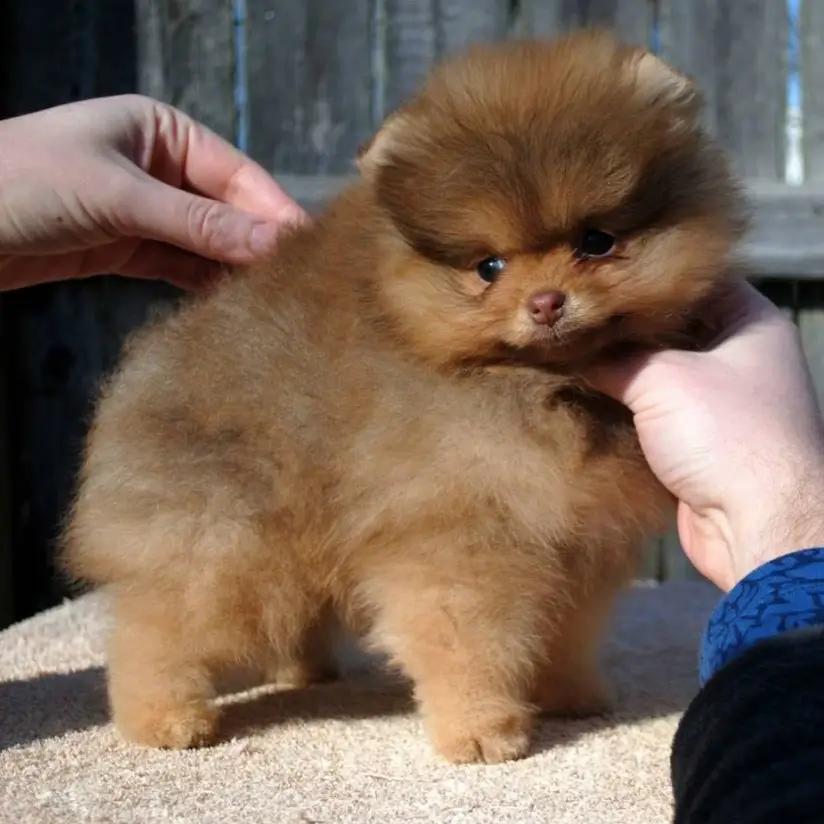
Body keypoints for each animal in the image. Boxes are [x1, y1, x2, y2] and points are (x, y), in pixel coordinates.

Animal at [62, 32, 748, 768]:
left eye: (596, 241)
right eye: (488, 268)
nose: (545, 302)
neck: (529, 384)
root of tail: (147, 364)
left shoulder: (577, 545)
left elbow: (564, 632)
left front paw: (571, 695)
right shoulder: (458, 532)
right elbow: (467, 640)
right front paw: (481, 731)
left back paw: (303, 670)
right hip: (220, 535)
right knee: (160, 627)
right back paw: (163, 720)